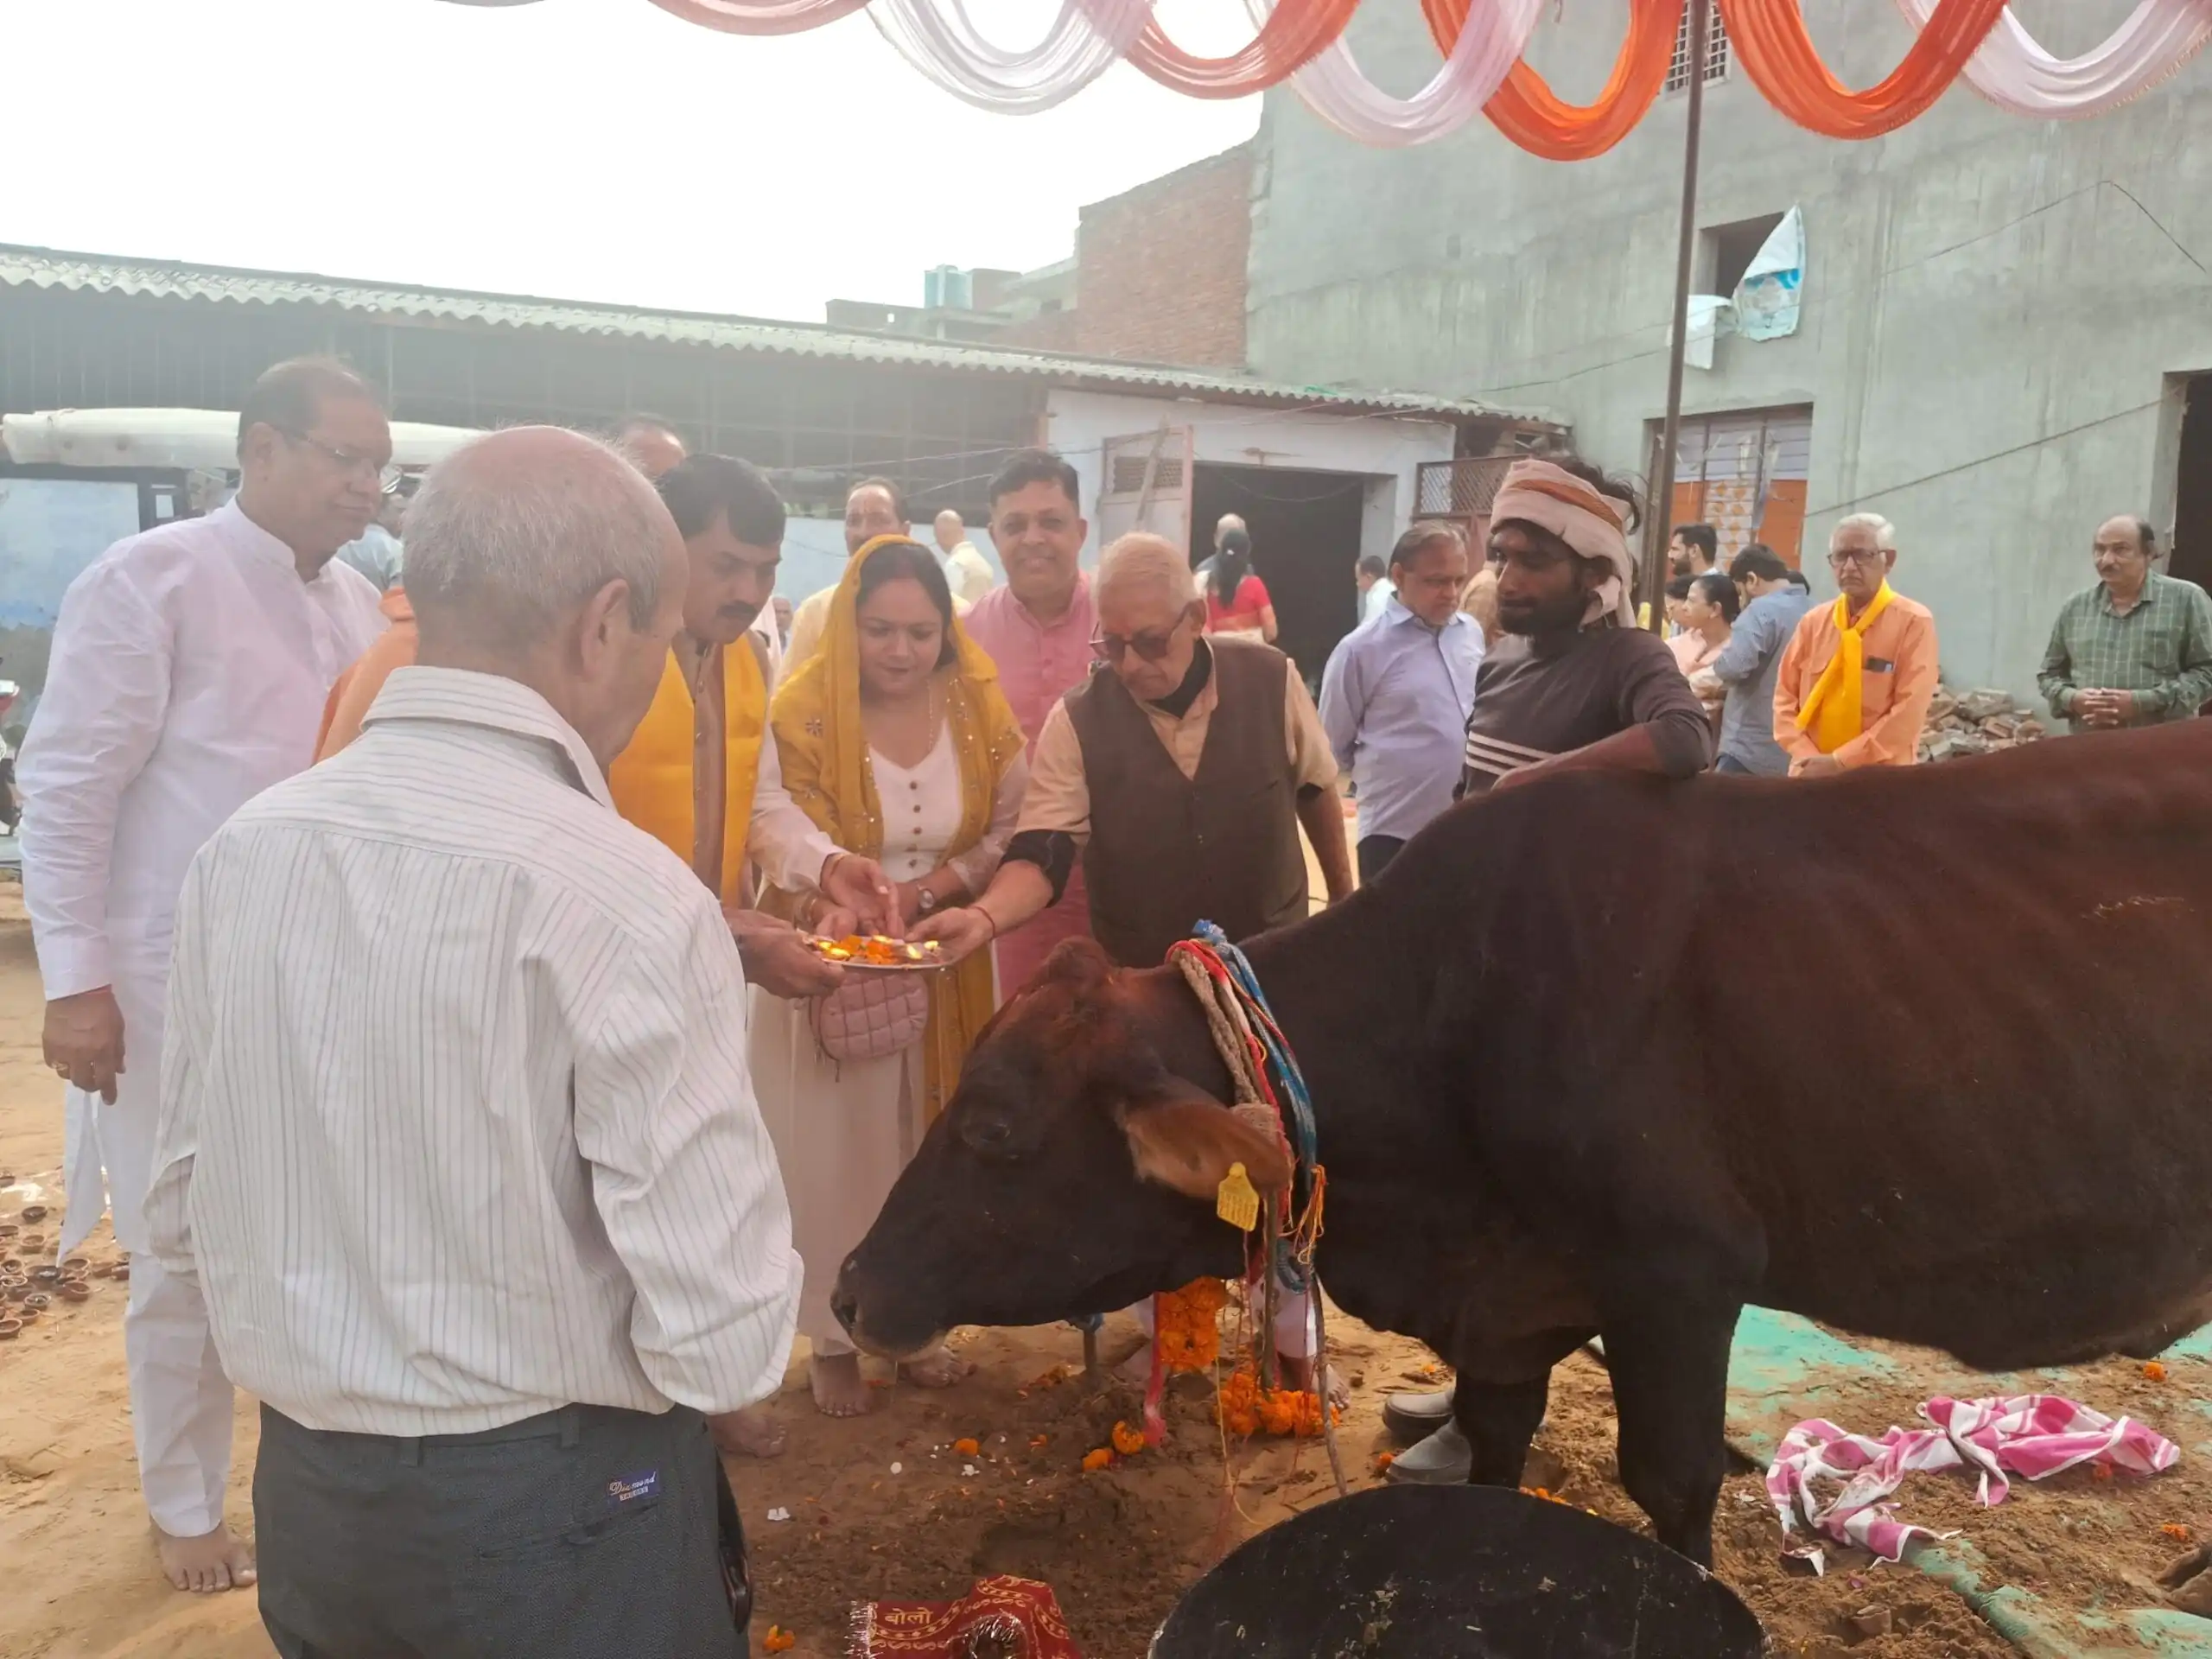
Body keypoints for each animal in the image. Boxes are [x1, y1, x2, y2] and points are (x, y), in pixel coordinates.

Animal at [831, 721, 2212, 1566]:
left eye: (994, 1126)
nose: (849, 1290)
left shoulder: (1678, 1282)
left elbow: (1675, 1486)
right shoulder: (1506, 1318)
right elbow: (1491, 1469)